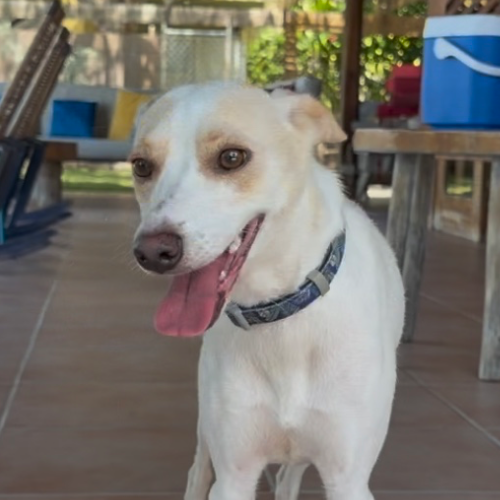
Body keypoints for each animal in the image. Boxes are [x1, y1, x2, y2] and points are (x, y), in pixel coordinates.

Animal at [131, 81, 405, 500]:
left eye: (231, 157)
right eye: (141, 166)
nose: (153, 253)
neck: (279, 316)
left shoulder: (348, 479)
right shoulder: (234, 475)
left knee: (289, 476)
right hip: (208, 429)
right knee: (198, 470)